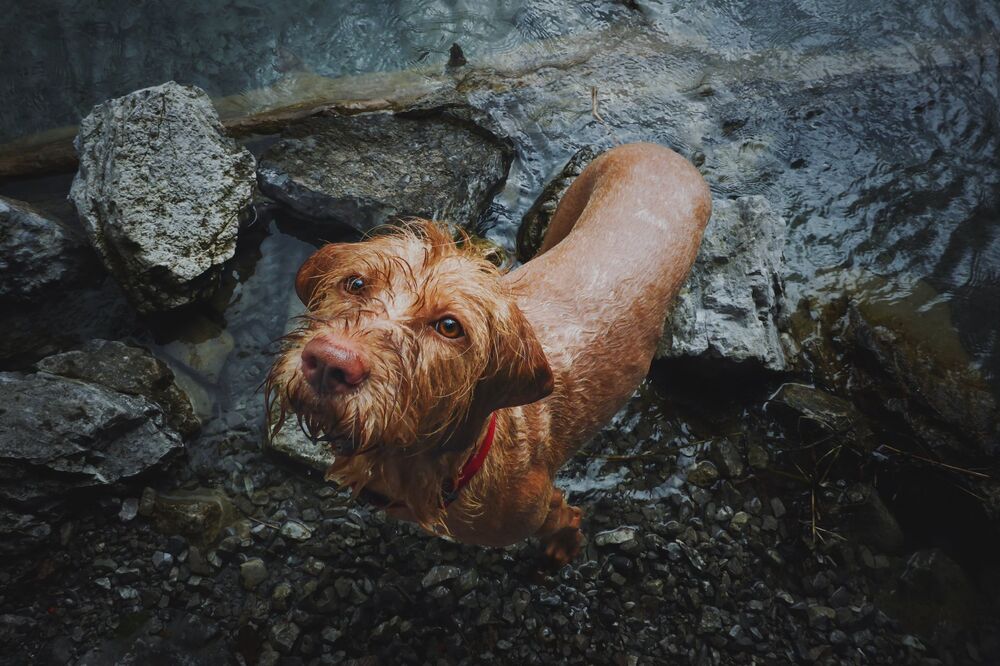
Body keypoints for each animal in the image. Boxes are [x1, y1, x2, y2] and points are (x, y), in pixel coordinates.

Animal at [266, 141, 712, 560]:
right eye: (356, 283)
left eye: (450, 326)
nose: (330, 362)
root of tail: (664, 154)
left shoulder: (545, 508)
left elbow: (566, 521)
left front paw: (563, 548)